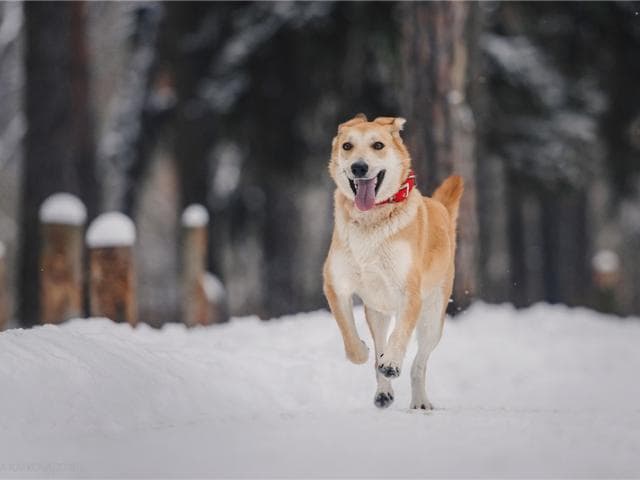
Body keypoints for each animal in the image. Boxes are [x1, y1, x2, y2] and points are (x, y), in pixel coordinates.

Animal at [322, 114, 462, 410]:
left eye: (378, 145)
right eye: (347, 146)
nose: (359, 167)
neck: (370, 222)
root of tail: (441, 208)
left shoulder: (409, 291)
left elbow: (400, 337)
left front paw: (393, 363)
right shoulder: (336, 285)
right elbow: (350, 337)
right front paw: (362, 352)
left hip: (433, 319)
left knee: (419, 362)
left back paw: (419, 400)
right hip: (377, 312)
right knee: (380, 347)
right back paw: (383, 391)